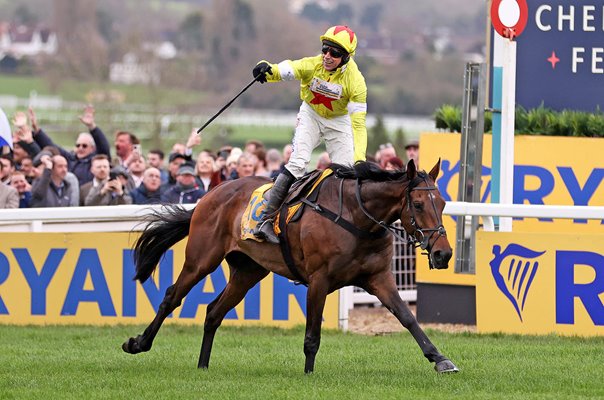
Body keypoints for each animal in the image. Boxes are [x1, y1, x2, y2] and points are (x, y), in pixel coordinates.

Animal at [122, 159, 458, 372]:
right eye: (418, 204)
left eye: (442, 203)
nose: (443, 254)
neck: (356, 217)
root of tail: (210, 194)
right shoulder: (319, 280)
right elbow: (312, 333)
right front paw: (309, 373)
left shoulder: (379, 278)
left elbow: (407, 318)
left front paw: (440, 358)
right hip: (201, 259)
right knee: (172, 297)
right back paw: (138, 343)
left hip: (248, 271)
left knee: (214, 311)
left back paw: (203, 365)